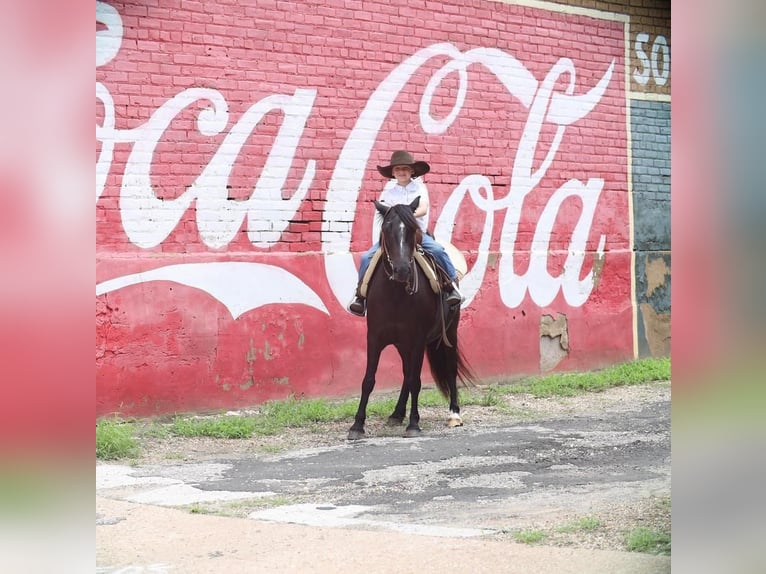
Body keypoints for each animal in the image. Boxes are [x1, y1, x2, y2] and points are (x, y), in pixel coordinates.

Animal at [348, 198, 474, 440]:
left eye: (413, 229)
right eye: (386, 228)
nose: (402, 270)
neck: (395, 294)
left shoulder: (417, 339)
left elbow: (416, 381)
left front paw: (414, 423)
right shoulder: (375, 337)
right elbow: (369, 380)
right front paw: (357, 425)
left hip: (449, 333)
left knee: (449, 369)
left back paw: (454, 414)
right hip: (402, 344)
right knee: (406, 374)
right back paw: (397, 414)